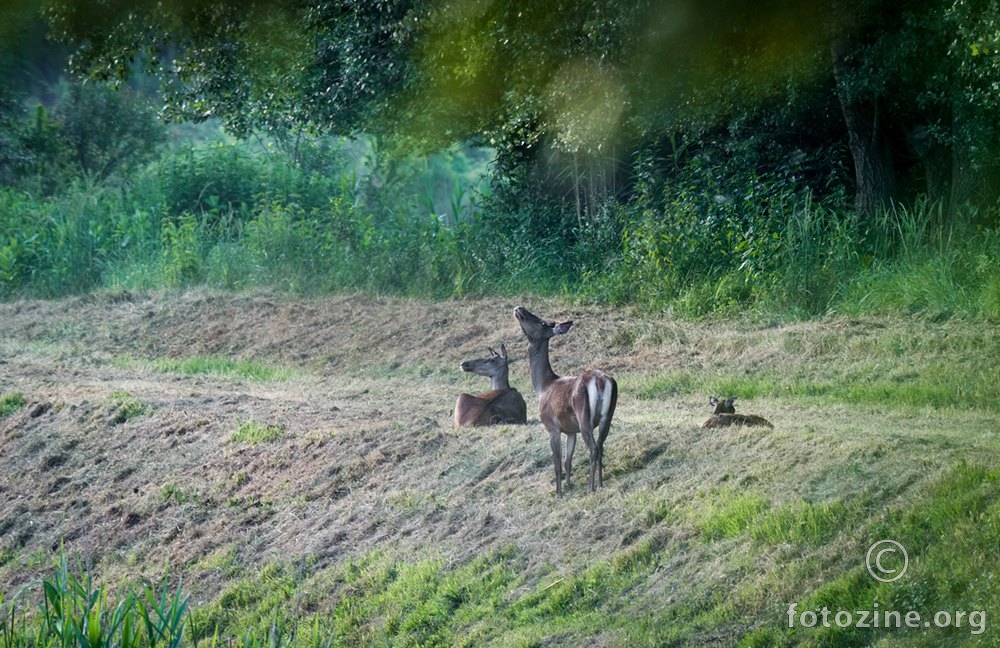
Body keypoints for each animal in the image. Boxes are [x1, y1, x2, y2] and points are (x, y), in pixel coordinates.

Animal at [516, 306, 616, 494]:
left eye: (542, 322)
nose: (519, 309)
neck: (542, 387)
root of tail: (600, 380)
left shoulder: (552, 427)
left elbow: (557, 463)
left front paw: (559, 493)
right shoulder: (570, 431)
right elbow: (567, 461)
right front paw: (569, 486)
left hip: (584, 416)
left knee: (593, 448)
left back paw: (590, 488)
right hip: (608, 415)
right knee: (601, 445)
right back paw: (600, 483)